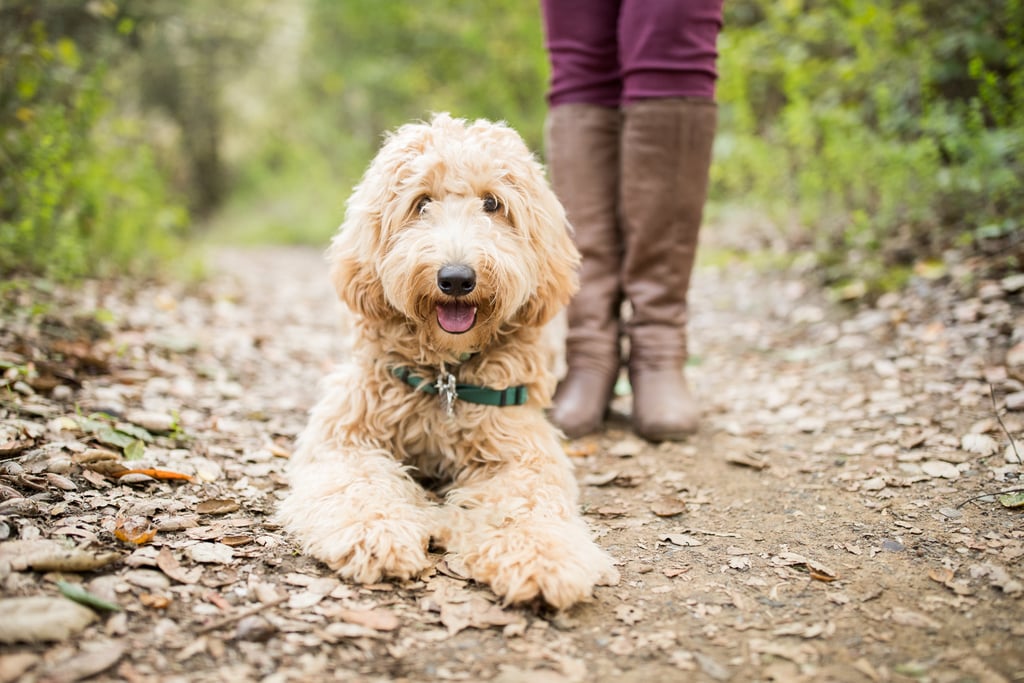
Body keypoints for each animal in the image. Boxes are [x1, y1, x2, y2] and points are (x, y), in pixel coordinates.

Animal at [276, 112, 618, 610]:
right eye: (421, 203)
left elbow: (527, 503)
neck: (445, 376)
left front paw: (540, 557)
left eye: (493, 203)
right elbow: (357, 483)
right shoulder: (347, 435)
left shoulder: (520, 448)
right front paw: (375, 533)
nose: (456, 278)